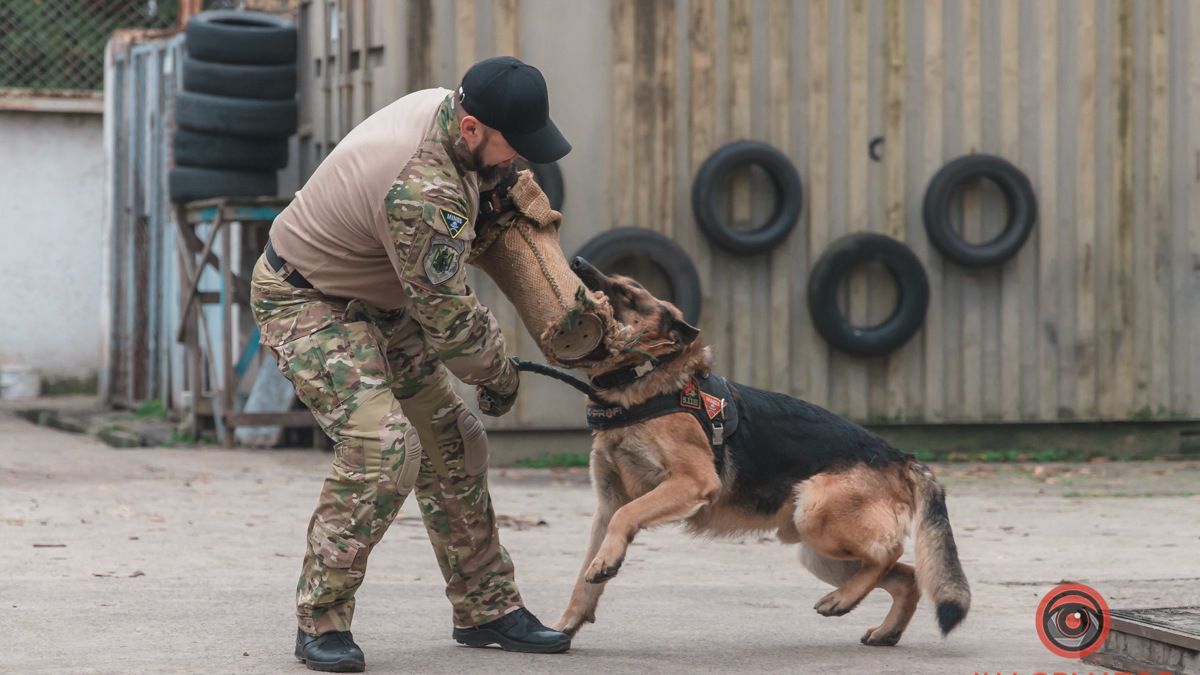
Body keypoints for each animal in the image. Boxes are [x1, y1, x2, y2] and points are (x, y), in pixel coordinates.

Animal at [556, 254, 969, 643]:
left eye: (627, 295)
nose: (577, 262)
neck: (643, 380)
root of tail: (901, 458)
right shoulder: (606, 508)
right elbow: (582, 577)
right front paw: (565, 626)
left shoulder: (690, 482)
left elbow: (628, 515)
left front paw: (603, 566)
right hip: (817, 552)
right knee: (907, 576)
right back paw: (884, 629)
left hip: (814, 515)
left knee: (891, 553)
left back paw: (843, 599)